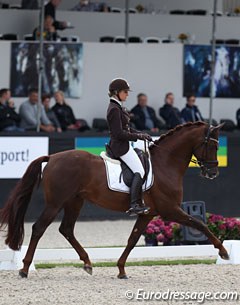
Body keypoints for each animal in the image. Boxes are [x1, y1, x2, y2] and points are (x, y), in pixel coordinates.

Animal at [0, 120, 229, 276]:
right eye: (213, 146)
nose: (213, 173)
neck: (165, 163)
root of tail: (52, 157)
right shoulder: (170, 209)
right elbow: (200, 224)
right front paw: (223, 251)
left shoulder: (147, 214)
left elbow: (132, 239)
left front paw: (121, 269)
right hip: (55, 203)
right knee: (39, 228)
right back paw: (25, 268)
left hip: (75, 201)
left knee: (66, 229)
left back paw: (87, 263)